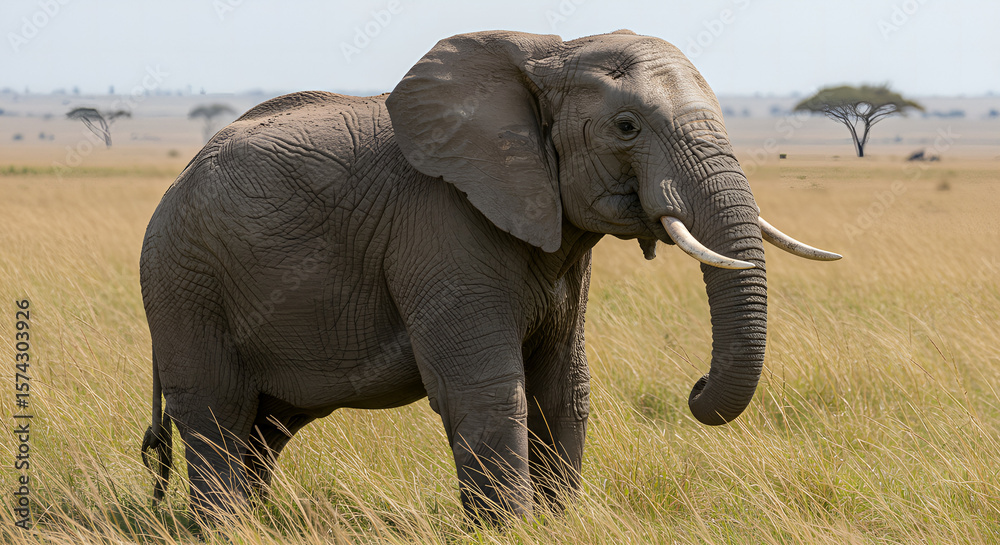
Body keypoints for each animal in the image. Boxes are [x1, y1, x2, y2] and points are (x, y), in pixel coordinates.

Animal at [139, 29, 840, 524]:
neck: (548, 53)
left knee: (268, 426)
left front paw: (558, 523)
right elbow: (484, 386)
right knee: (219, 413)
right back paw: (224, 528)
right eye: (626, 126)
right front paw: (513, 528)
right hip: (183, 284)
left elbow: (564, 381)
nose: (694, 387)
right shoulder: (439, 223)